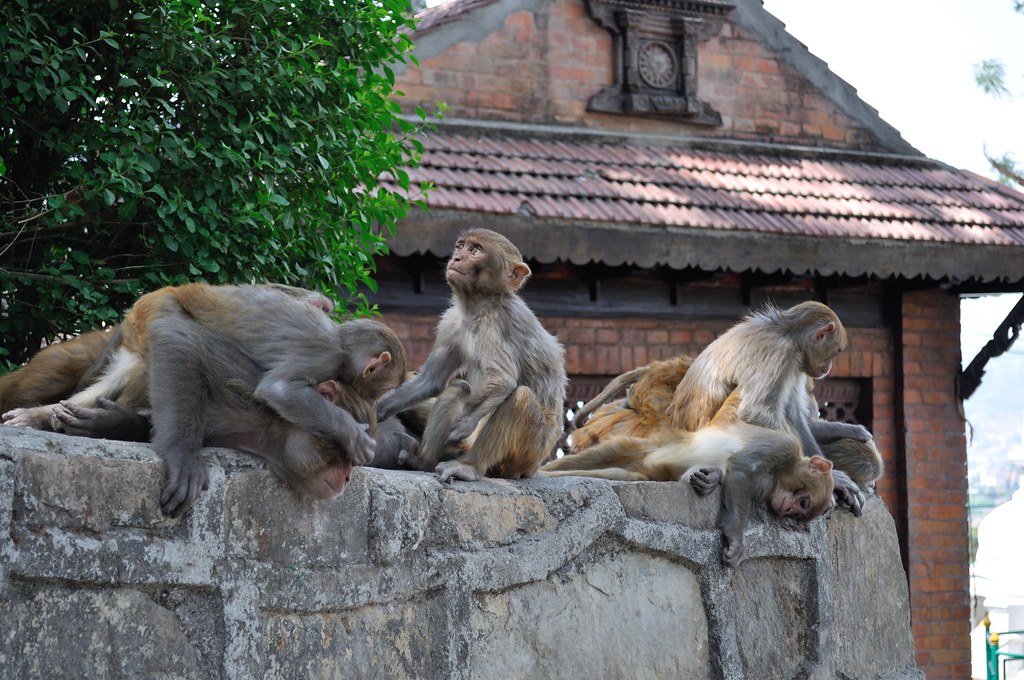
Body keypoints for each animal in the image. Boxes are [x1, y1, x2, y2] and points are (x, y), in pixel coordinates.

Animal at [3, 283, 407, 516]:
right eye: (339, 456)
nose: (349, 477)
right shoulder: (315, 358)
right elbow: (276, 388)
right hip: (155, 311)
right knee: (166, 331)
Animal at [375, 228, 567, 483]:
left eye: (476, 250)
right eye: (461, 246)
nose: (456, 258)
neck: (478, 304)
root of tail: (534, 467)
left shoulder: (493, 324)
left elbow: (502, 380)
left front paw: (463, 424)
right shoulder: (451, 323)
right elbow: (432, 381)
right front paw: (381, 406)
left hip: (529, 453)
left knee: (521, 398)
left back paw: (469, 466)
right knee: (458, 388)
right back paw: (423, 462)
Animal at [543, 392, 836, 567]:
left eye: (799, 512)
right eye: (804, 501)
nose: (788, 509)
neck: (780, 474)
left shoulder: (767, 489)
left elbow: (725, 475)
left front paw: (710, 479)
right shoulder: (780, 447)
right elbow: (742, 470)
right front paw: (735, 539)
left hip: (638, 470)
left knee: (620, 473)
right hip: (644, 445)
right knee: (605, 454)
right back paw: (545, 472)